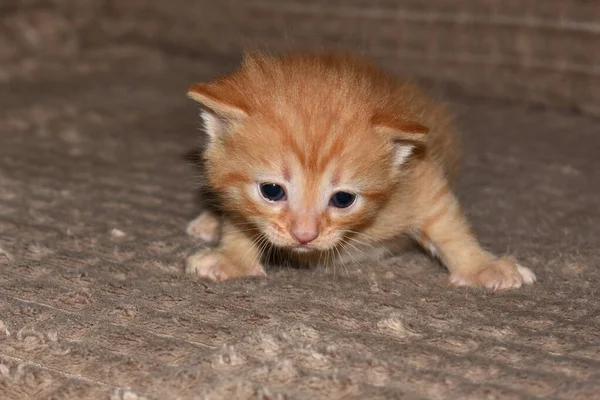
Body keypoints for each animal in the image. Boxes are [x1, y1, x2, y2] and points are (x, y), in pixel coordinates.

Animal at [183, 52, 536, 290]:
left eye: (343, 200)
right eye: (272, 191)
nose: (305, 235)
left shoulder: (418, 175)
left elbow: (446, 222)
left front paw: (482, 267)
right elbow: (239, 219)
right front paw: (233, 257)